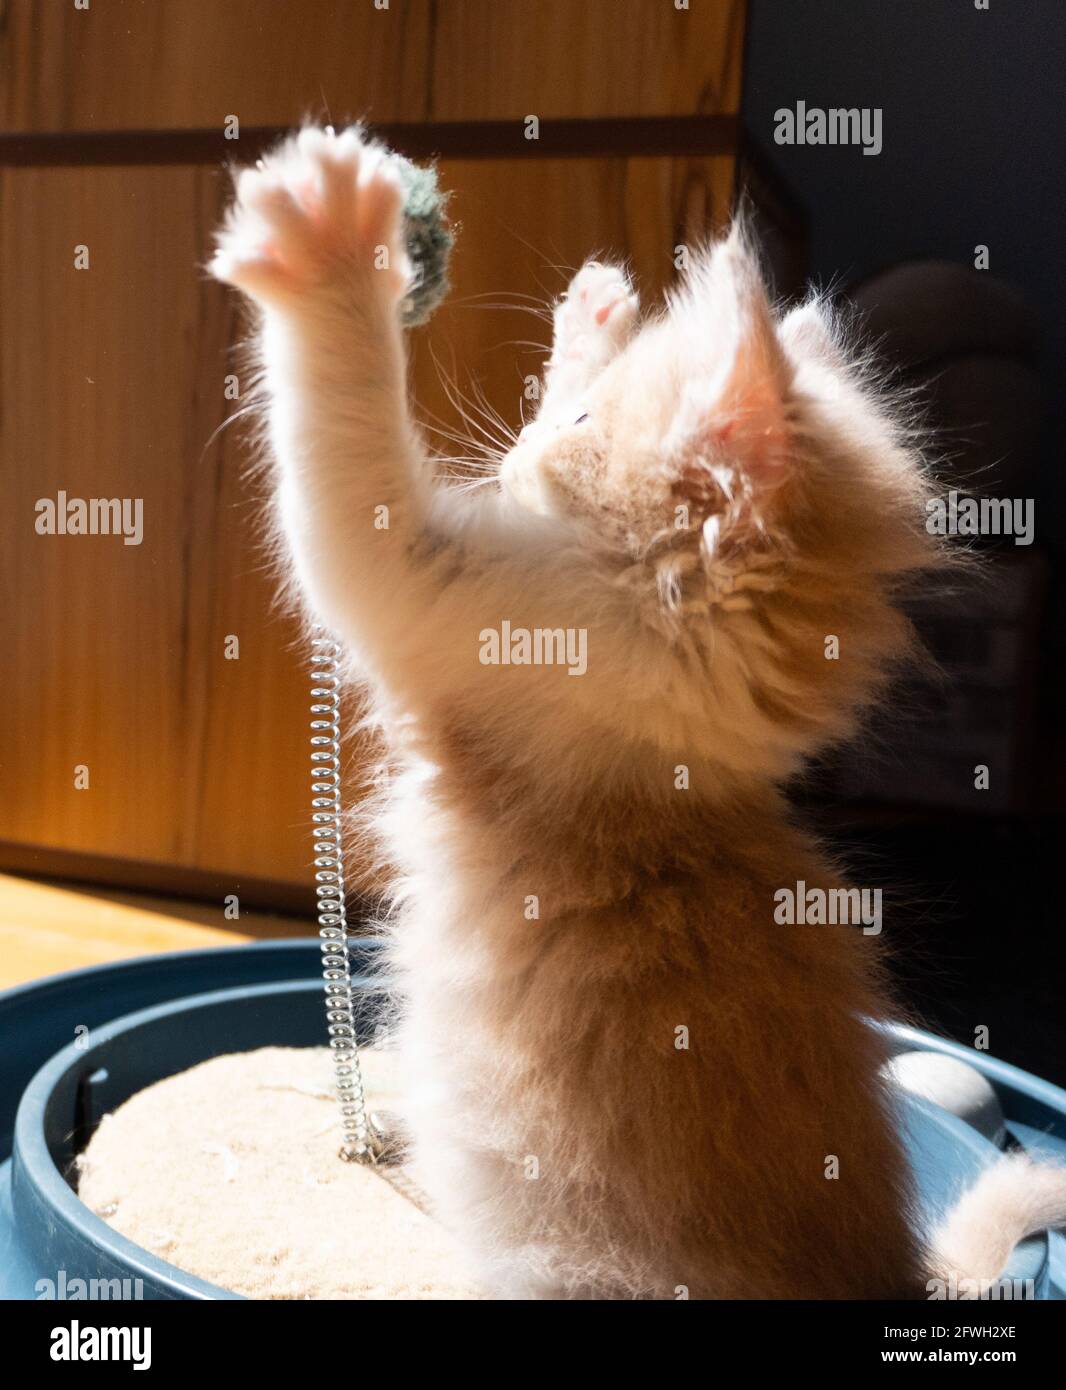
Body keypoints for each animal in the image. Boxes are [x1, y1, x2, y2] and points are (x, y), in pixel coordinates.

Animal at [212, 125, 1061, 1295]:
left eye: (572, 425)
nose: (517, 448)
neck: (678, 748)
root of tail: (893, 1276)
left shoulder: (421, 581)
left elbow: (346, 446)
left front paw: (333, 242)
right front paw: (595, 316)